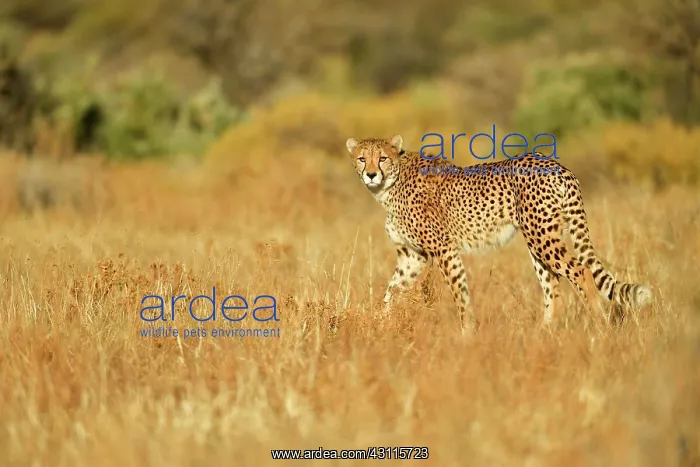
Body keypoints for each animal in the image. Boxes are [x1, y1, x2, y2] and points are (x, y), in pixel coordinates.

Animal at [345, 134, 652, 334]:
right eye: (361, 158)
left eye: (382, 158)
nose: (371, 174)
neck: (390, 185)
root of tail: (556, 165)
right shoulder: (413, 256)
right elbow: (391, 291)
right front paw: (380, 325)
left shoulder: (444, 250)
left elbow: (460, 294)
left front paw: (467, 335)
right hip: (539, 241)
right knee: (553, 284)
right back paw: (545, 332)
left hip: (541, 236)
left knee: (581, 272)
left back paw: (598, 323)